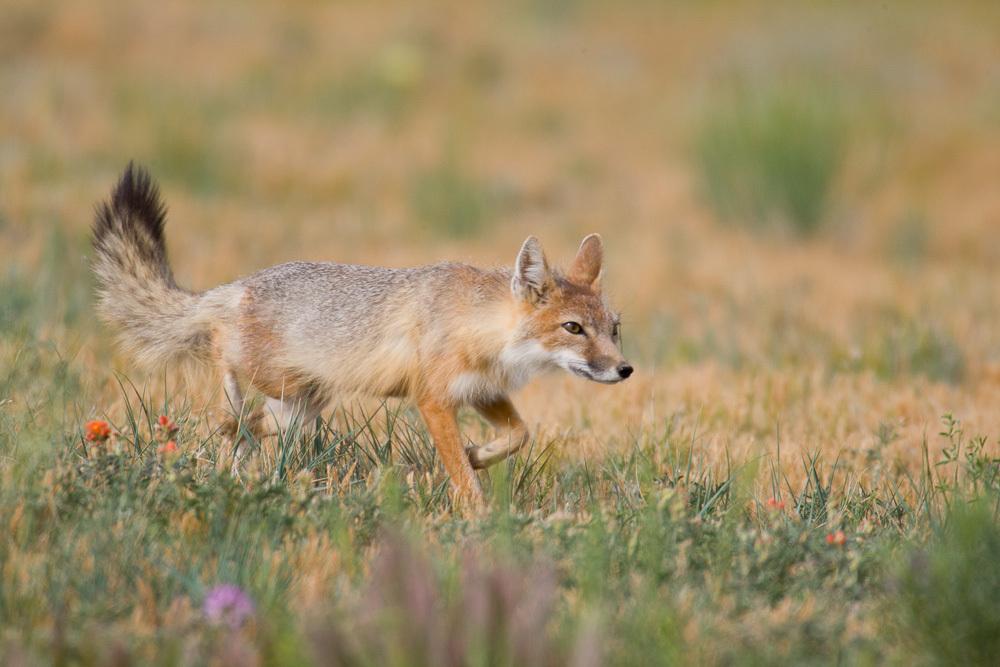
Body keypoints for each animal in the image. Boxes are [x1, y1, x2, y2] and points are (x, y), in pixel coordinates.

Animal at [92, 163, 633, 504]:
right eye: (573, 328)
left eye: (613, 328)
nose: (625, 369)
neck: (479, 326)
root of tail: (237, 286)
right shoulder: (433, 401)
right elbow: (463, 479)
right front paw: (476, 517)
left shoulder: (482, 392)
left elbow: (519, 434)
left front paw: (480, 455)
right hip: (280, 386)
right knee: (225, 384)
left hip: (302, 408)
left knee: (248, 426)